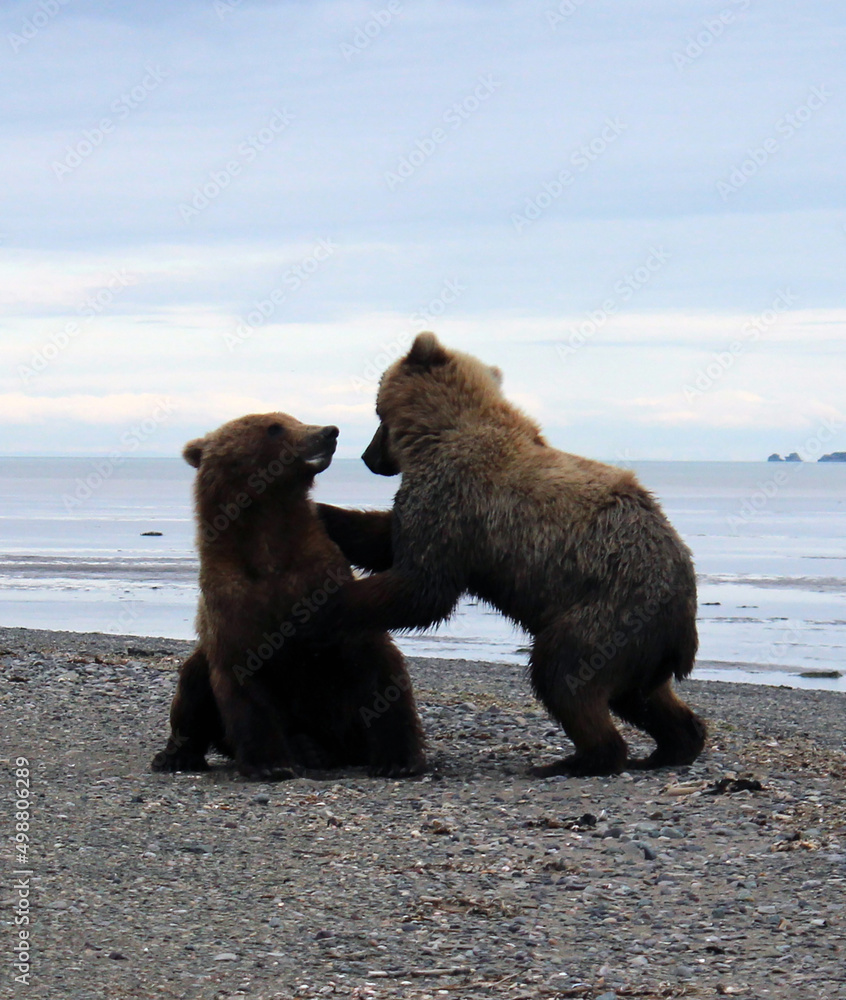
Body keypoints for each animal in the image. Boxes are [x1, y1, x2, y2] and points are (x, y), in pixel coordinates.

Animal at [151, 412, 425, 781]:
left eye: (292, 418)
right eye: (274, 427)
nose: (328, 431)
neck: (268, 542)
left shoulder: (326, 592)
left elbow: (378, 668)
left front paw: (399, 759)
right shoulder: (233, 604)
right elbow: (244, 682)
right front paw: (271, 764)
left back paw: (314, 751)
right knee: (193, 681)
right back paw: (178, 756)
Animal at [315, 333, 706, 777]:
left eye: (377, 411)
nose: (368, 456)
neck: (440, 433)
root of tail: (683, 622)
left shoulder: (455, 501)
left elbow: (422, 586)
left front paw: (335, 603)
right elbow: (385, 539)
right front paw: (323, 512)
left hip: (612, 609)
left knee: (565, 674)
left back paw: (576, 759)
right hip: (642, 646)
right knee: (641, 696)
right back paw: (671, 747)